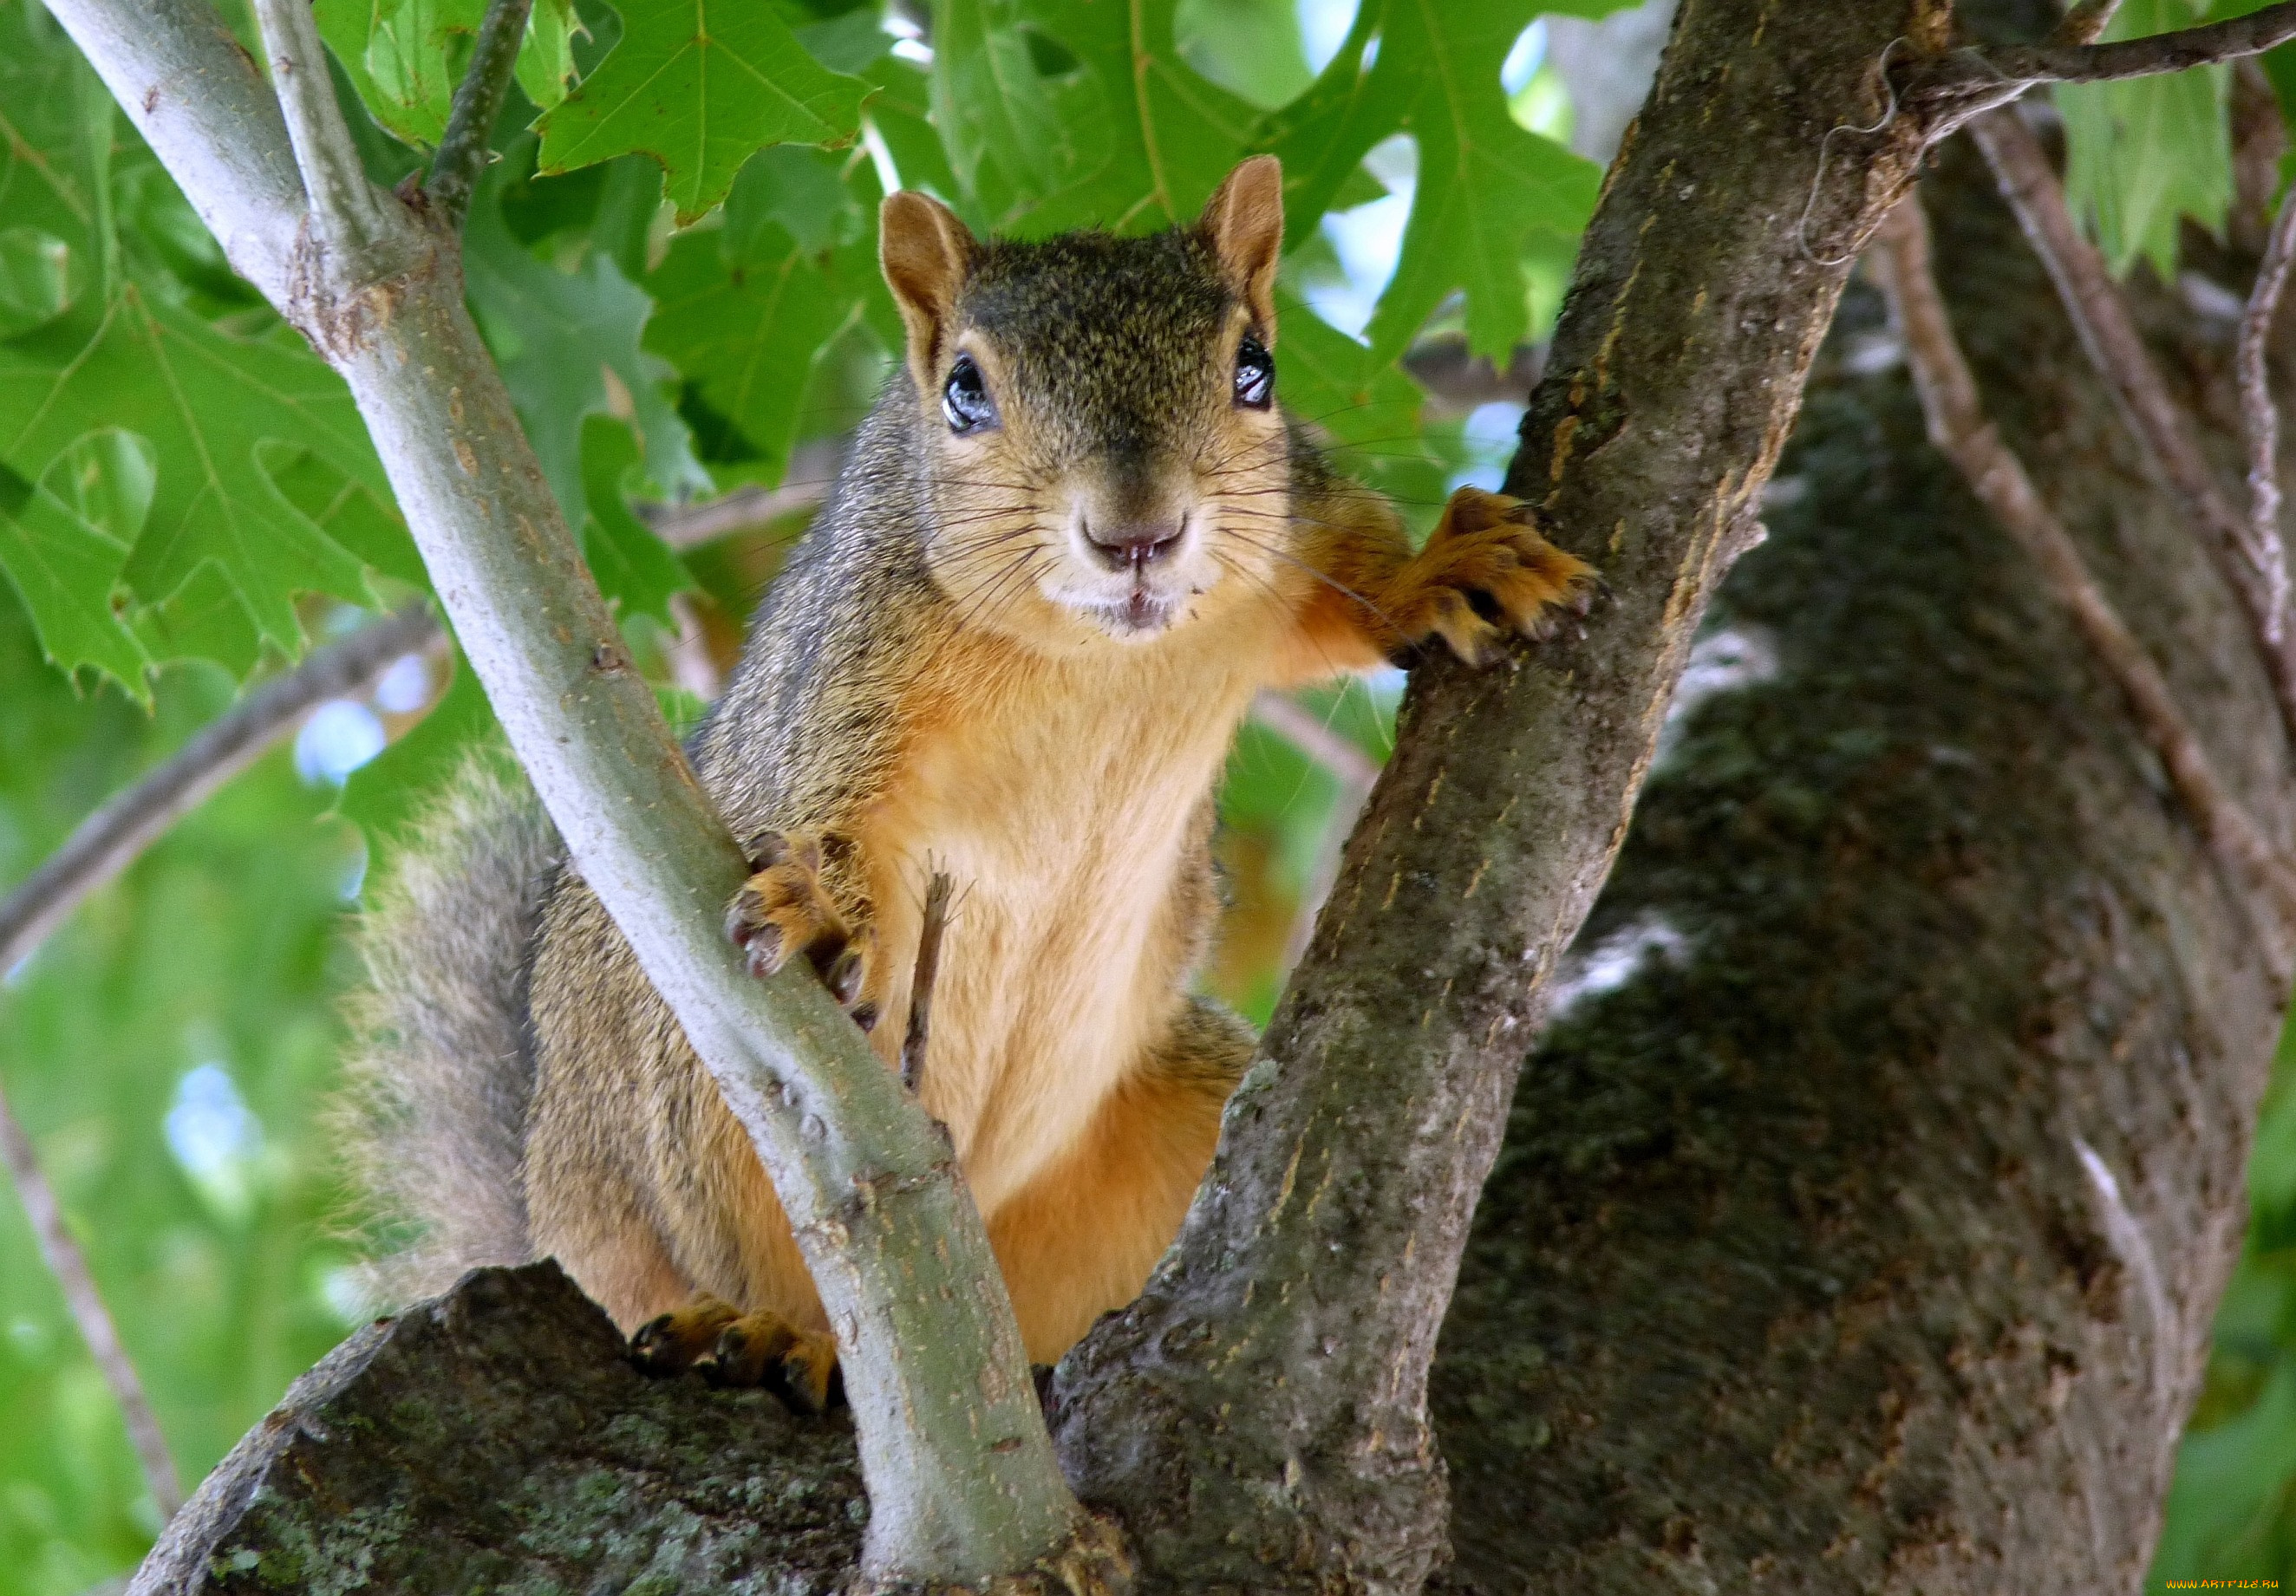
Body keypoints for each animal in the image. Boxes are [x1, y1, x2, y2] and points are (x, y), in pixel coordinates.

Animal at [344, 160, 1598, 1414]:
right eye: (963, 393)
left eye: (1257, 371)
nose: (1136, 533)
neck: (1097, 659)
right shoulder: (848, 660)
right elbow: (824, 799)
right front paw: (822, 907)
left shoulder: (1293, 527)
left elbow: (1356, 572)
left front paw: (1452, 565)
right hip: (669, 1108)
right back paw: (744, 1327)